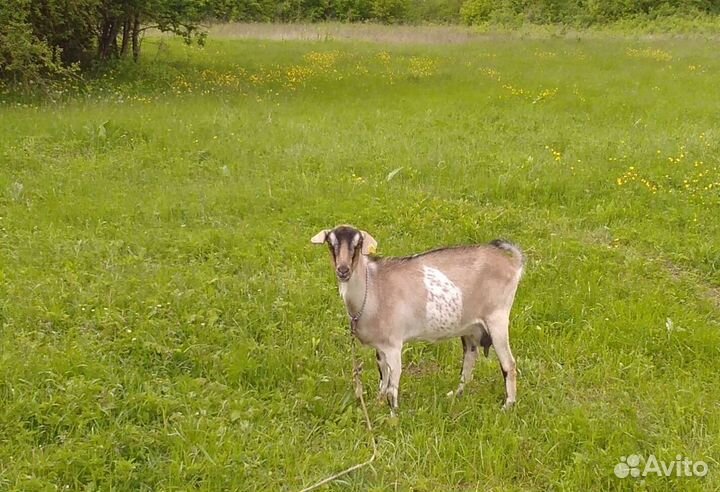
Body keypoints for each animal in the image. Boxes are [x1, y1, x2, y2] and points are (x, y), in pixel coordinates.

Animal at [311, 225, 524, 412]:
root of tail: (513, 263)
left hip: (497, 317)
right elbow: (383, 378)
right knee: (470, 359)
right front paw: (377, 405)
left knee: (509, 364)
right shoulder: (380, 347)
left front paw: (394, 417)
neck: (373, 287)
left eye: (358, 244)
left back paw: (508, 405)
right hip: (470, 326)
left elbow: (392, 386)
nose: (343, 270)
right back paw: (456, 395)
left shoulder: (394, 345)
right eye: (331, 244)